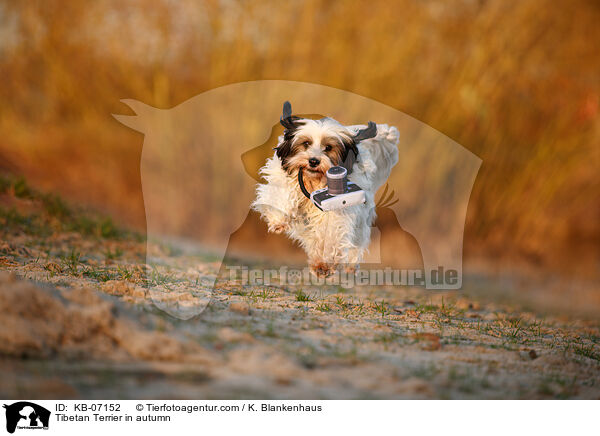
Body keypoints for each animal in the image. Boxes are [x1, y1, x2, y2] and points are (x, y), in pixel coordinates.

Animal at [252, 102, 398, 276]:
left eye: (328, 147)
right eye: (306, 143)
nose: (313, 161)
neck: (313, 181)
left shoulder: (337, 211)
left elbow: (330, 232)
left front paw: (325, 263)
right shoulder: (283, 180)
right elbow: (281, 195)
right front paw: (278, 220)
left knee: (356, 239)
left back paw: (344, 264)